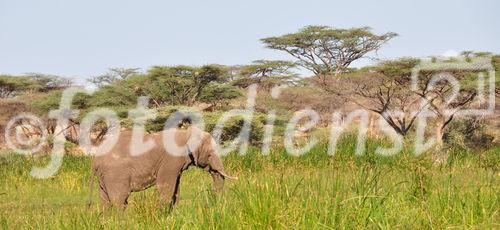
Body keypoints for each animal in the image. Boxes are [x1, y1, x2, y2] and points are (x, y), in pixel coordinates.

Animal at [88, 126, 236, 208]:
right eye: (210, 154)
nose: (213, 204)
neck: (186, 134)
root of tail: (95, 160)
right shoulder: (170, 160)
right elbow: (166, 186)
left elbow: (176, 188)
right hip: (115, 174)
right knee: (120, 200)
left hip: (105, 176)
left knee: (105, 200)